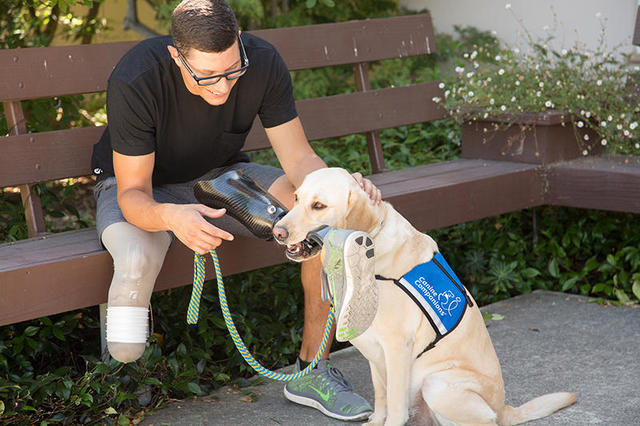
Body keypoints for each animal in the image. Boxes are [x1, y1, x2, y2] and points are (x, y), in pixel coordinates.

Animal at [272, 168, 576, 424]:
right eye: (296, 198)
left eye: (319, 206)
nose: (277, 231)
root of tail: (503, 409)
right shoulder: (374, 352)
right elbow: (381, 399)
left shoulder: (397, 347)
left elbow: (395, 406)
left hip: (437, 384)